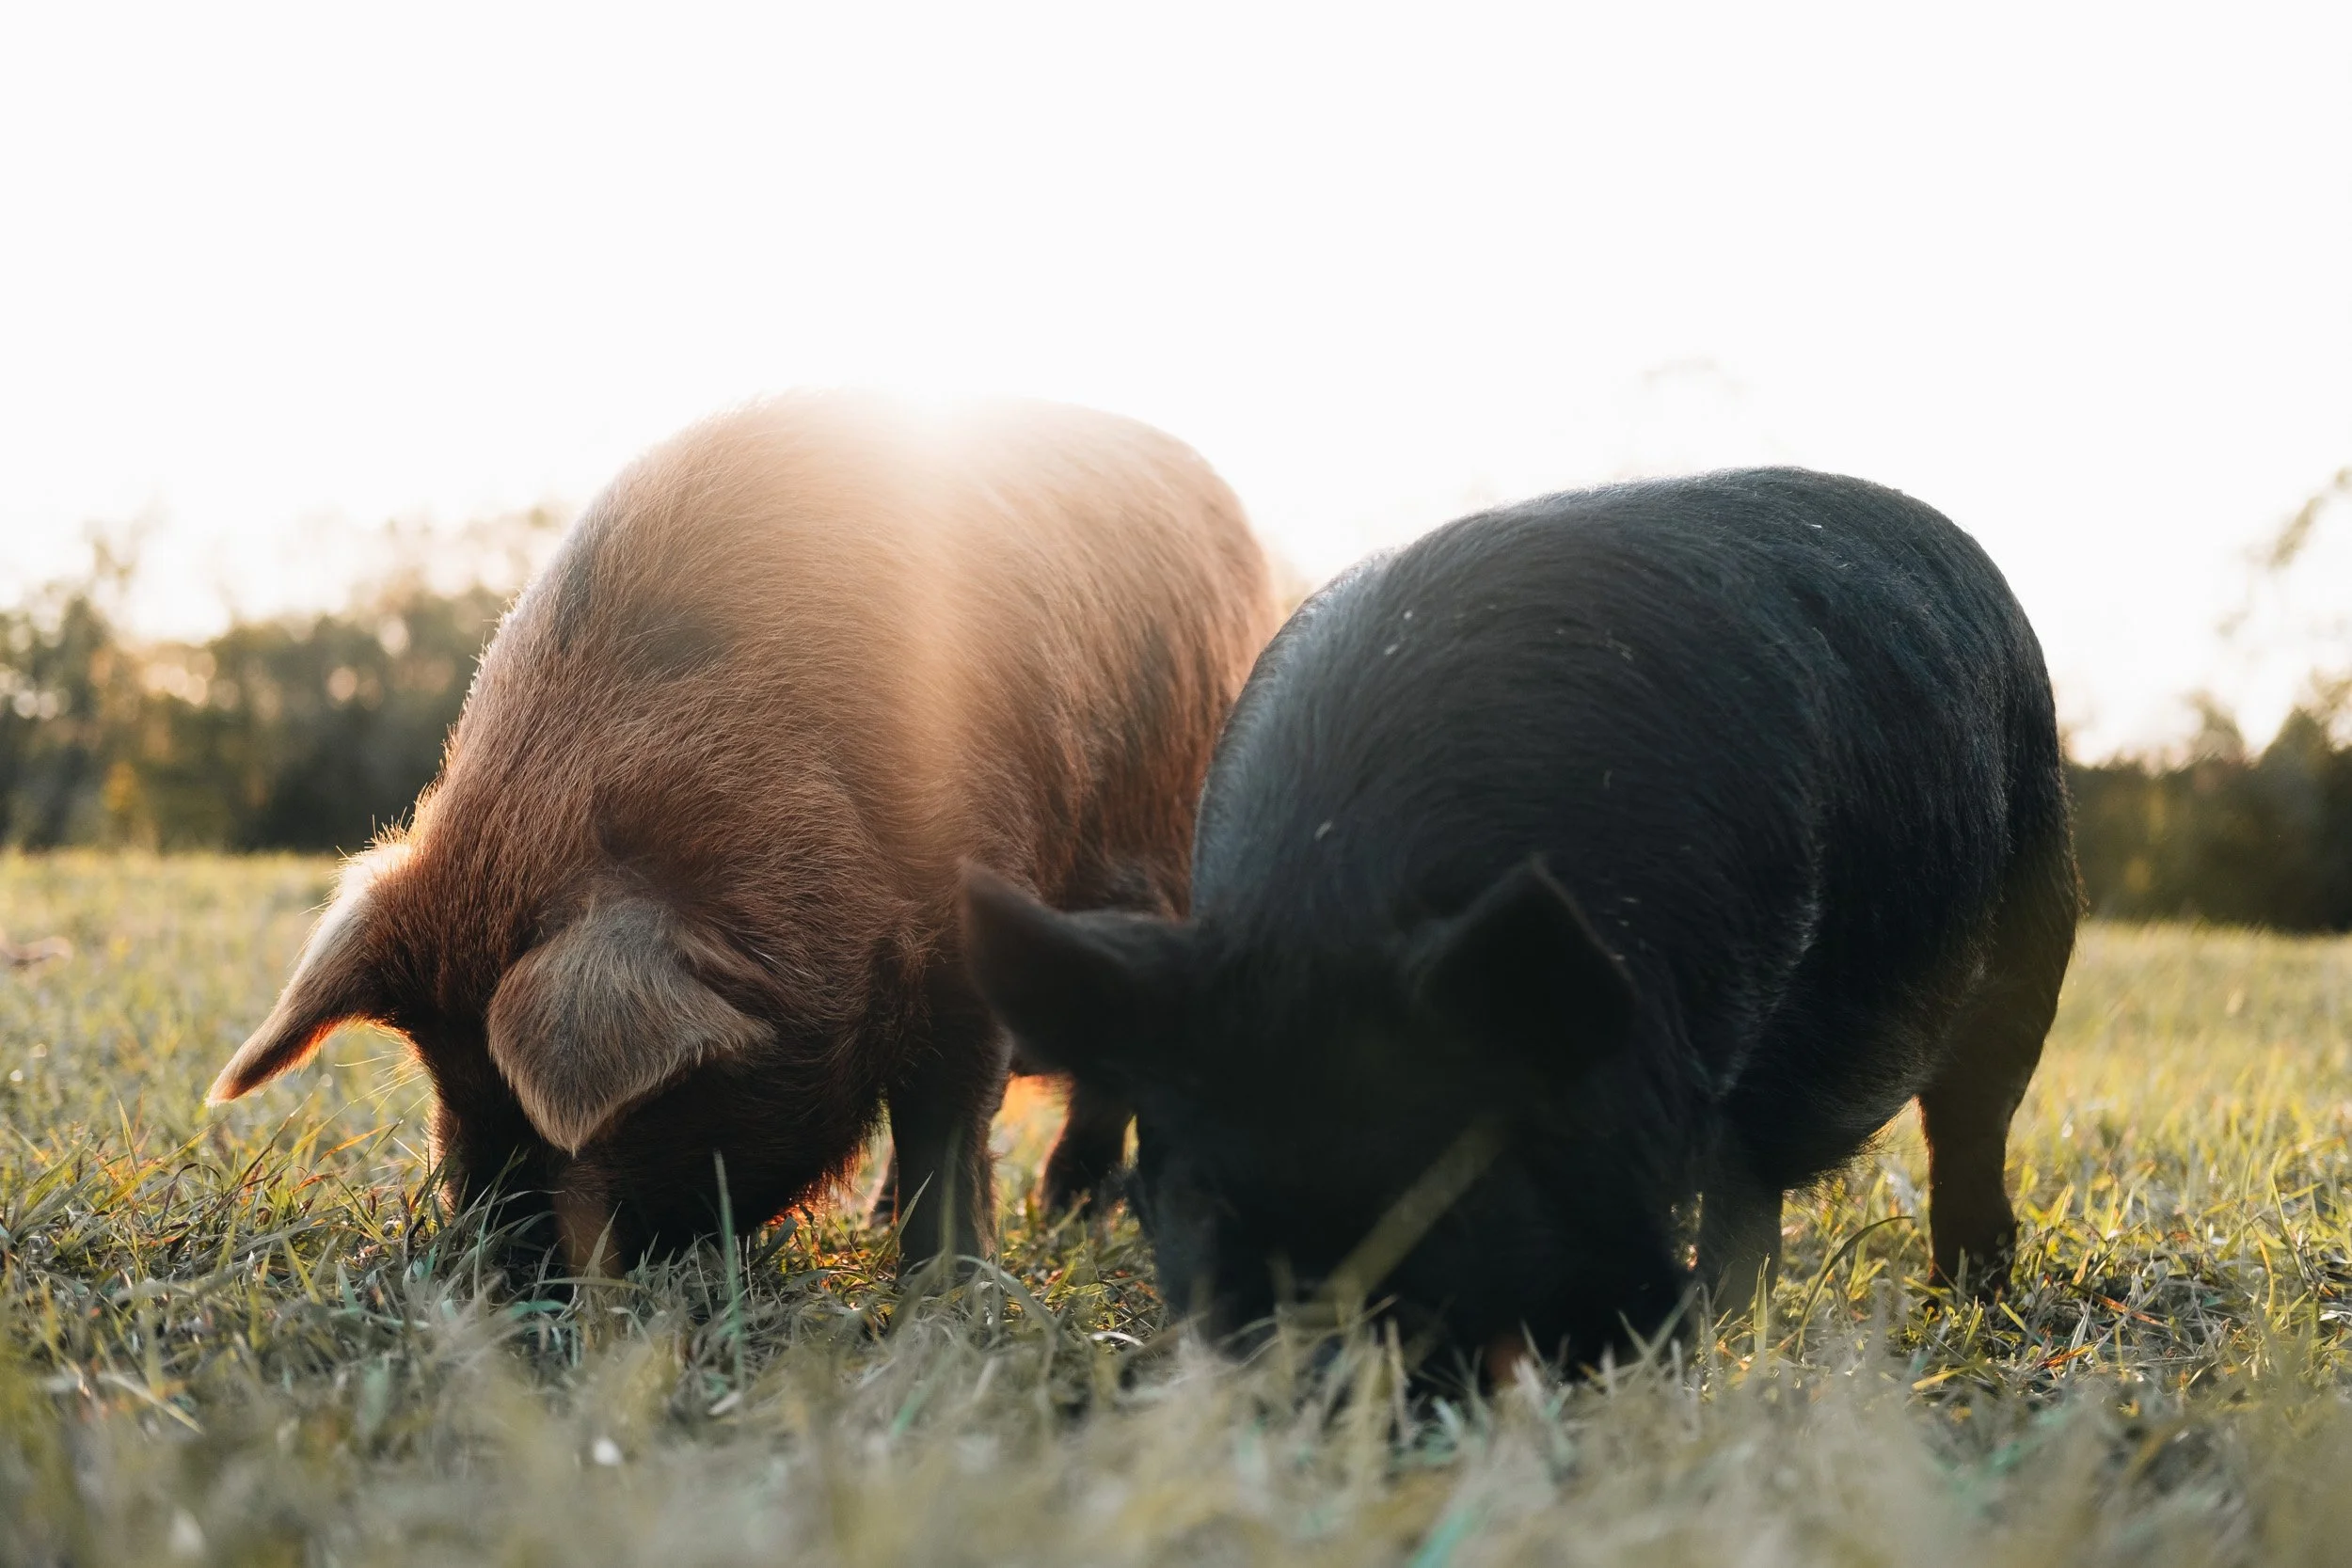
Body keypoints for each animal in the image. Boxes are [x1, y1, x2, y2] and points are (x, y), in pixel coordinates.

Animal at [206, 393, 1279, 1274]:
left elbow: (949, 1119)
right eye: (449, 1077)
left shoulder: (973, 912)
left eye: (635, 1110)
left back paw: (1066, 1215)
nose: (492, 1263)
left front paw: (947, 1293)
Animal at [963, 468, 2079, 1370]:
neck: (1333, 909)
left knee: (1967, 1123)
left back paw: (1967, 1300)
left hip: (2039, 924)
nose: (1324, 1373)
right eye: (1201, 1199)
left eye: (1462, 1179)